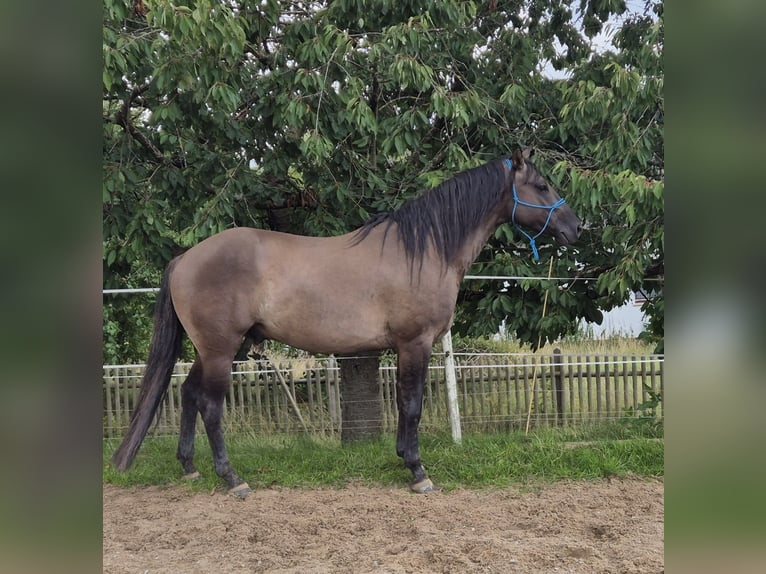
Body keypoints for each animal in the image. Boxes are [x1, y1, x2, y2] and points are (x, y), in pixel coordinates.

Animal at [111, 148, 582, 496]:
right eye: (541, 185)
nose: (576, 226)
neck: (424, 250)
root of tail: (186, 258)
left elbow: (404, 405)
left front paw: (403, 458)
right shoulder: (416, 343)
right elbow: (412, 404)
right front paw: (418, 472)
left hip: (219, 349)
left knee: (189, 395)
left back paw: (190, 467)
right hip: (221, 349)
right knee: (210, 405)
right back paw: (232, 479)